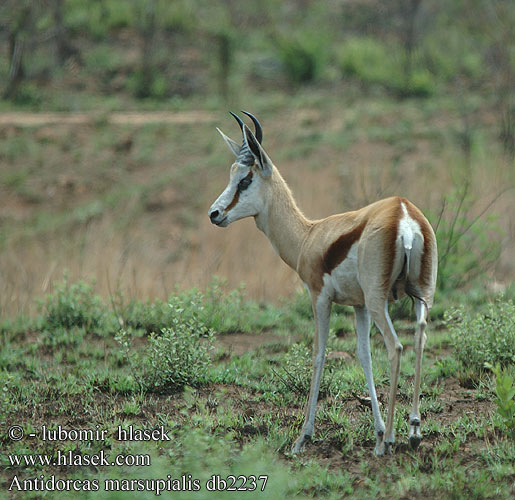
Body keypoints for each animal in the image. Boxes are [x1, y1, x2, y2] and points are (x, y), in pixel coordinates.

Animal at [210, 111, 440, 456]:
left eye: (245, 179)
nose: (215, 213)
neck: (309, 236)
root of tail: (403, 213)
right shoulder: (358, 305)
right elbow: (363, 355)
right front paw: (376, 430)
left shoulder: (320, 298)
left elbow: (319, 354)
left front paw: (303, 437)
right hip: (421, 296)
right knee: (420, 339)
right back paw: (412, 431)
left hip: (380, 301)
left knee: (396, 347)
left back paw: (389, 442)